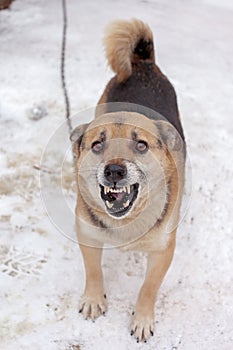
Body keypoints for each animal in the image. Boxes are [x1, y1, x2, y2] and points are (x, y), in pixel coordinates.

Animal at [71, 18, 186, 342]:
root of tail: (141, 62)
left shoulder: (162, 251)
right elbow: (93, 271)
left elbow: (148, 288)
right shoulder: (87, 235)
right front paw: (94, 299)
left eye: (141, 145)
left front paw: (142, 319)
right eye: (97, 144)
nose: (114, 171)